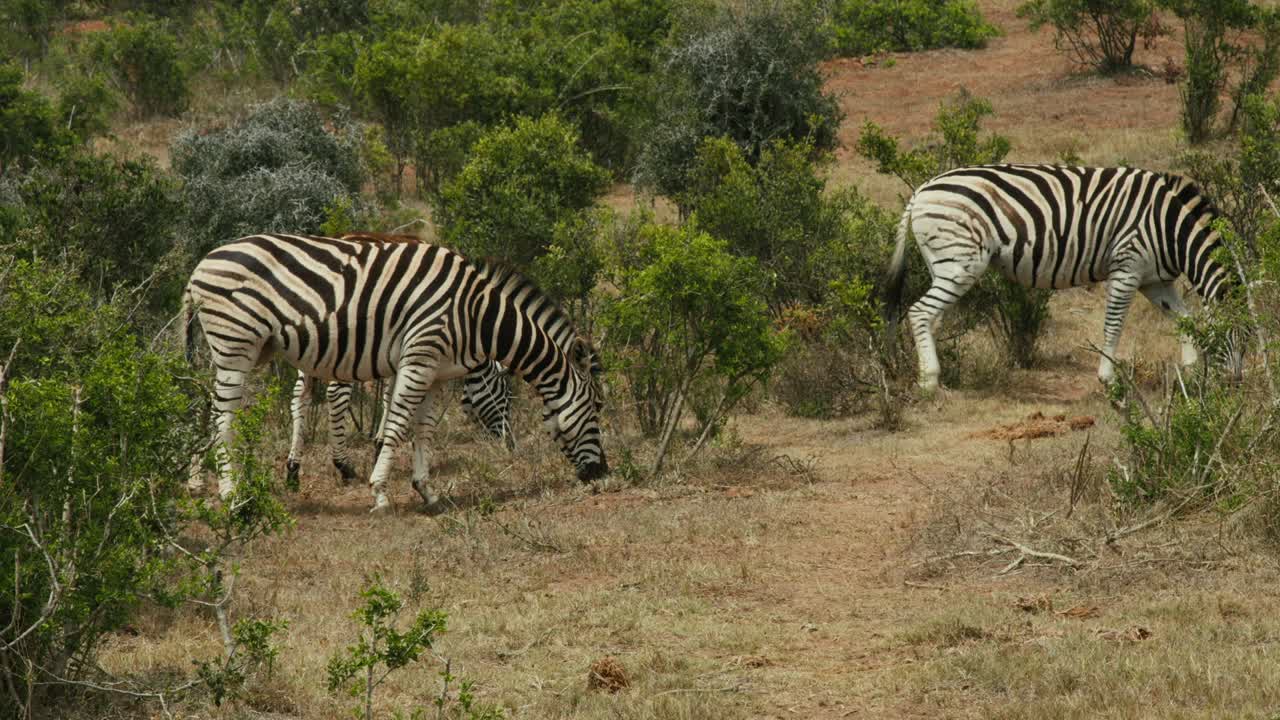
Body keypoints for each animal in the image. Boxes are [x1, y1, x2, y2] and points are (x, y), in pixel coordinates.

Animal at [284, 359, 514, 489]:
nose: (510, 446)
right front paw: (381, 445)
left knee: (299, 396)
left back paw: (293, 469)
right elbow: (393, 394)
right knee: (335, 395)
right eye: (507, 395)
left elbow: (389, 393)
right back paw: (344, 465)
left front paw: (379, 444)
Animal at [884, 164, 1239, 391]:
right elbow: (1113, 325)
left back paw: (940, 374)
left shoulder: (1155, 280)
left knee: (931, 318)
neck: (1171, 228)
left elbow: (1184, 319)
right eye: (1237, 334)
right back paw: (929, 380)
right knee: (918, 312)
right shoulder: (1126, 267)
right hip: (960, 263)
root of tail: (921, 191)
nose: (1237, 383)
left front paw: (1189, 370)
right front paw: (1108, 378)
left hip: (942, 264)